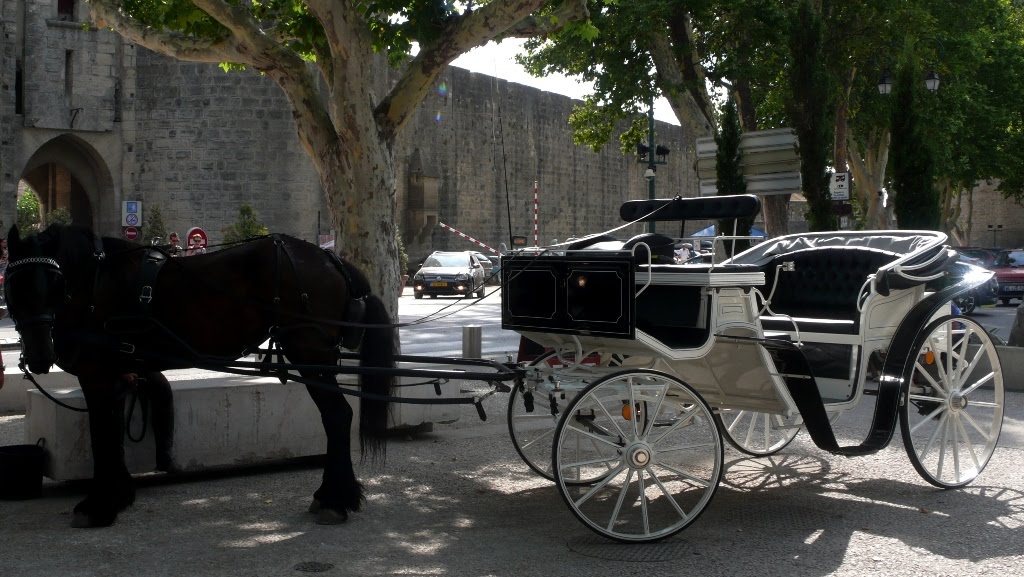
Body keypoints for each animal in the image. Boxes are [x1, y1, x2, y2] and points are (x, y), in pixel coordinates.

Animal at [3, 224, 395, 528]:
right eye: (12, 287)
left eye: (54, 284)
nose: (40, 356)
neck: (97, 283)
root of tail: (330, 258)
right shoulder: (116, 375)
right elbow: (111, 434)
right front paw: (117, 495)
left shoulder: (97, 374)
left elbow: (102, 436)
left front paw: (99, 506)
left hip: (309, 352)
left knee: (337, 416)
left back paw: (334, 499)